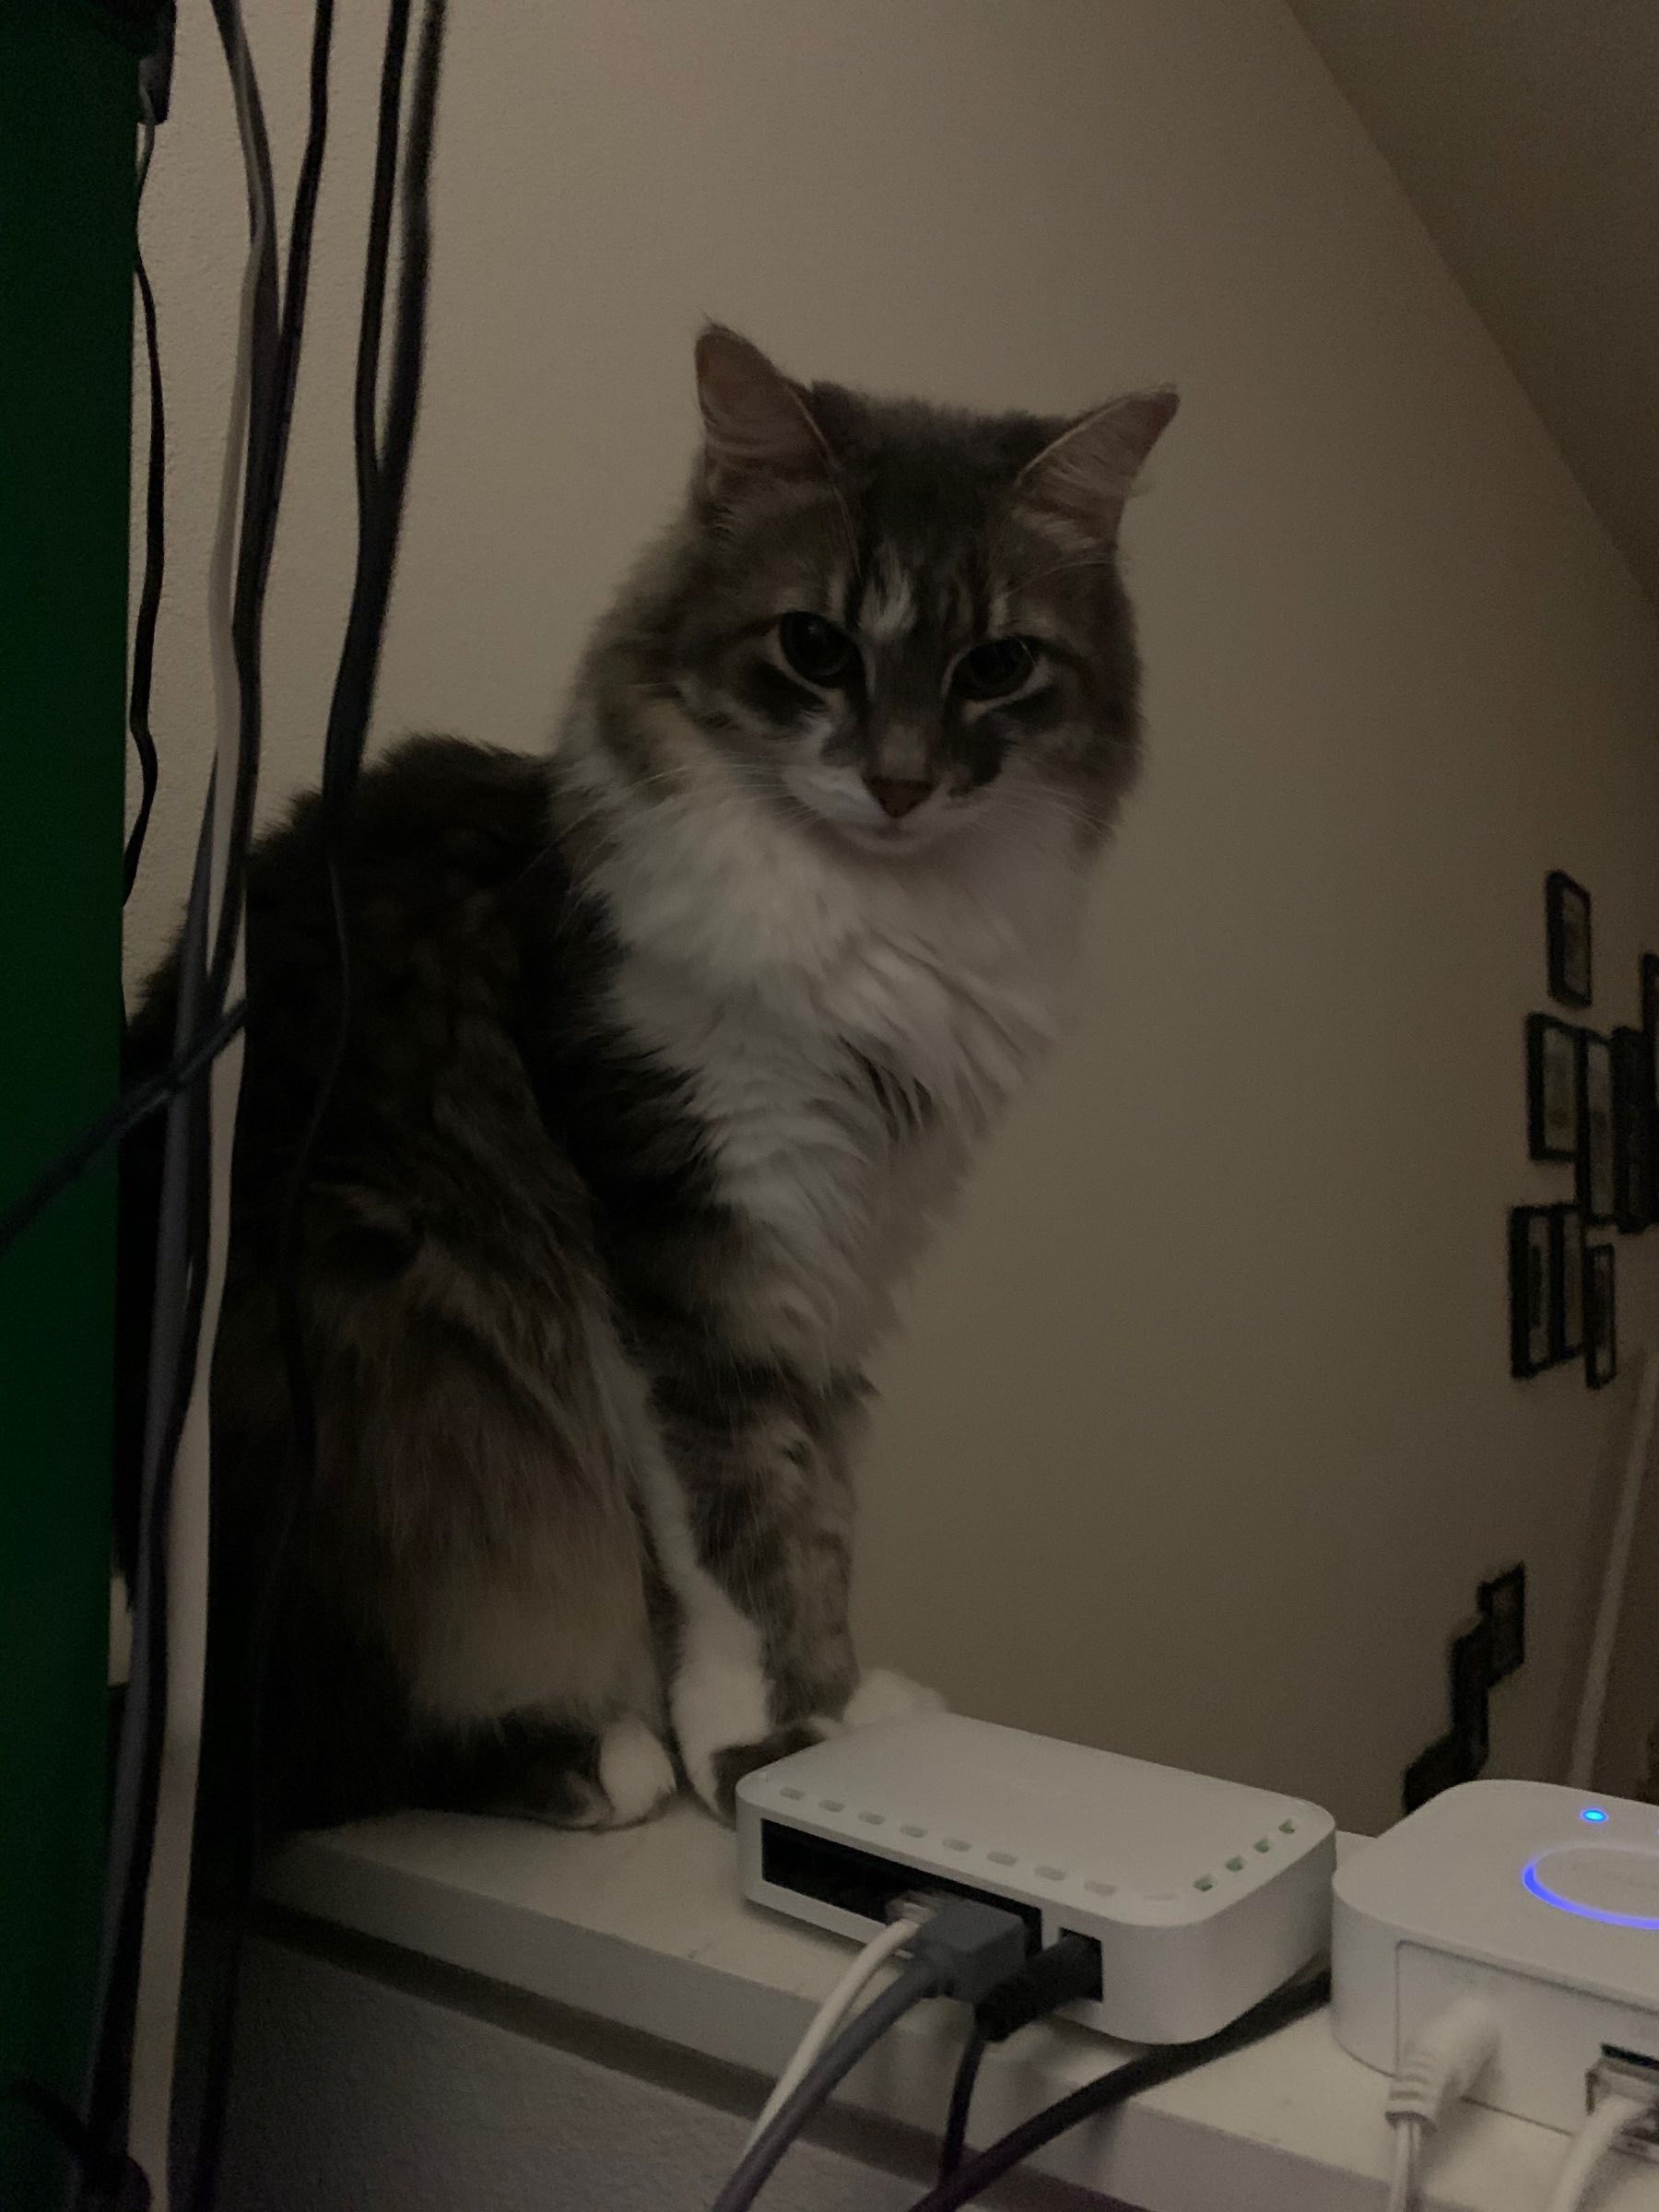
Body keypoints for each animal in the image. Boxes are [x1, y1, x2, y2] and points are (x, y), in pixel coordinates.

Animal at [117, 323, 1176, 1831]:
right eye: (817, 647)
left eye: (997, 666)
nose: (902, 784)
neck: (876, 924)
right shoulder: (680, 1244)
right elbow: (726, 1526)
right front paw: (750, 1743)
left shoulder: (834, 1261)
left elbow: (817, 1511)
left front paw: (845, 1714)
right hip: (373, 1364)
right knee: (291, 1754)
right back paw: (585, 1753)